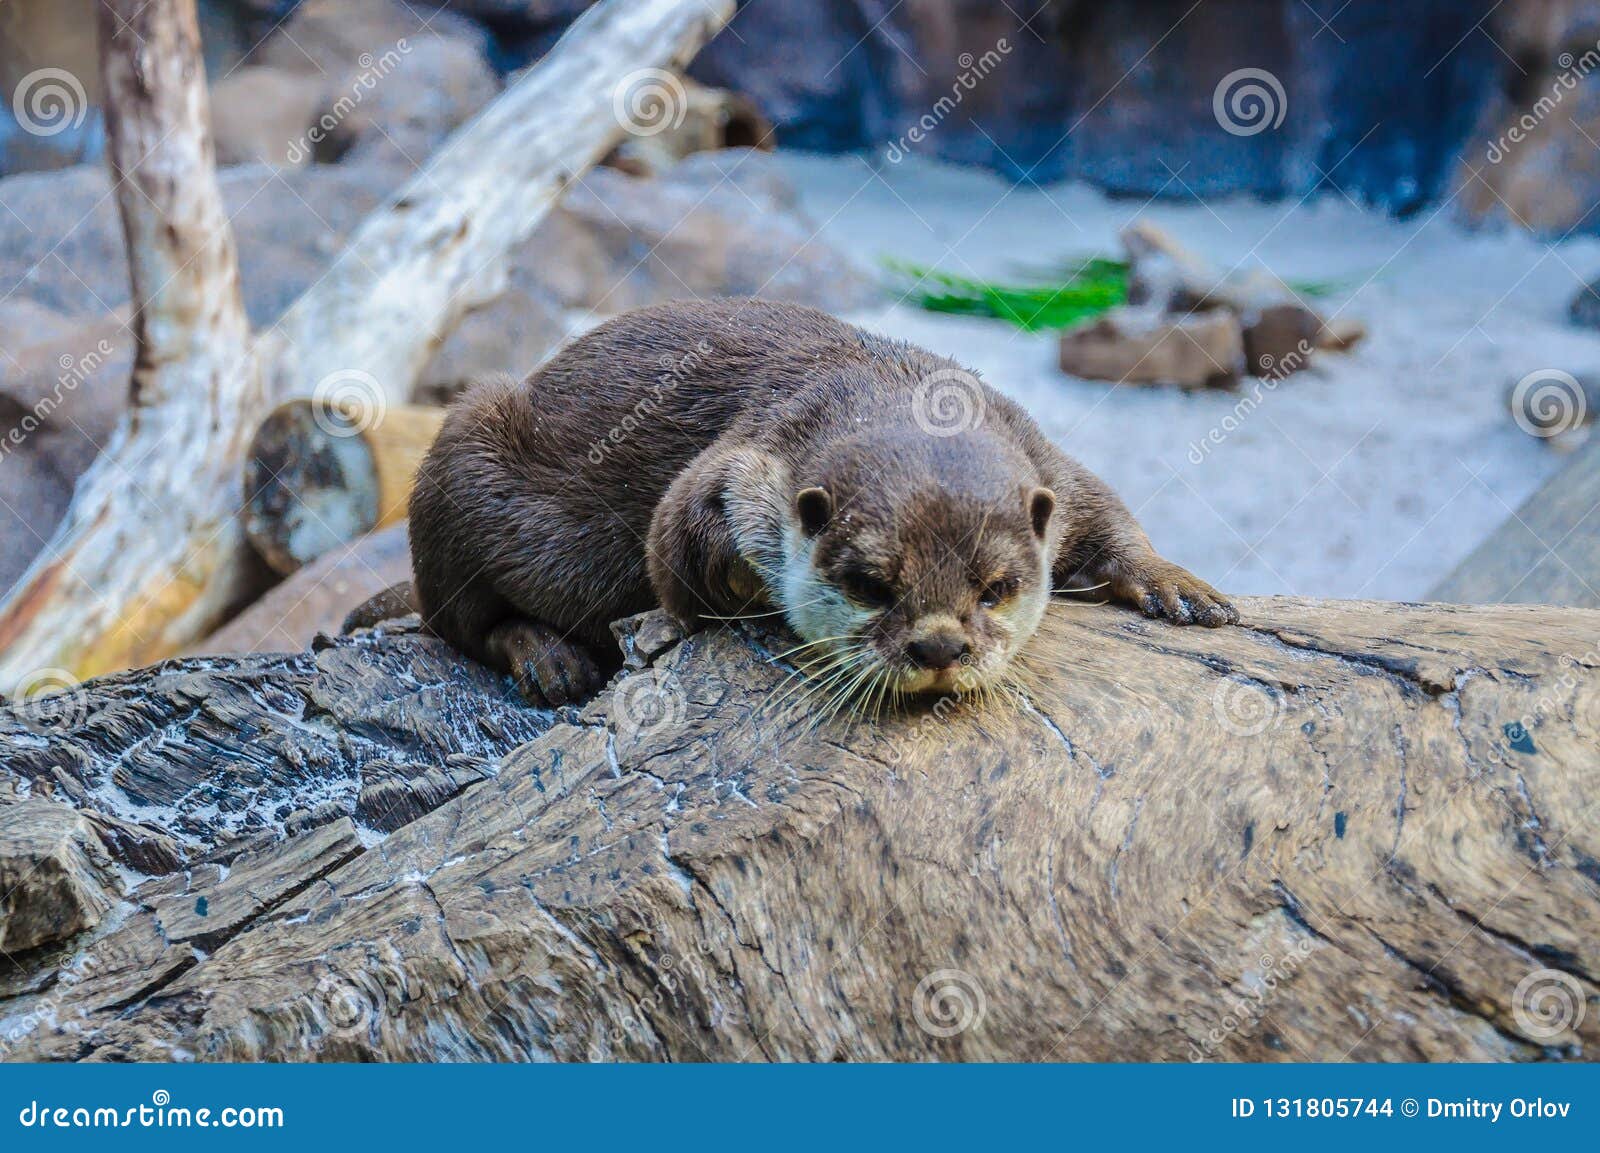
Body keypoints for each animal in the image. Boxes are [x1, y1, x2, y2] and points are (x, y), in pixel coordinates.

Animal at [403, 299, 1235, 710]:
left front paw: (1176, 584)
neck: (894, 387)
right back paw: (547, 658)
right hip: (462, 451)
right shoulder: (748, 454)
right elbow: (672, 544)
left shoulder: (1046, 461)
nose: (939, 648)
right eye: (870, 585)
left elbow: (1105, 509)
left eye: (996, 590)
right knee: (455, 623)